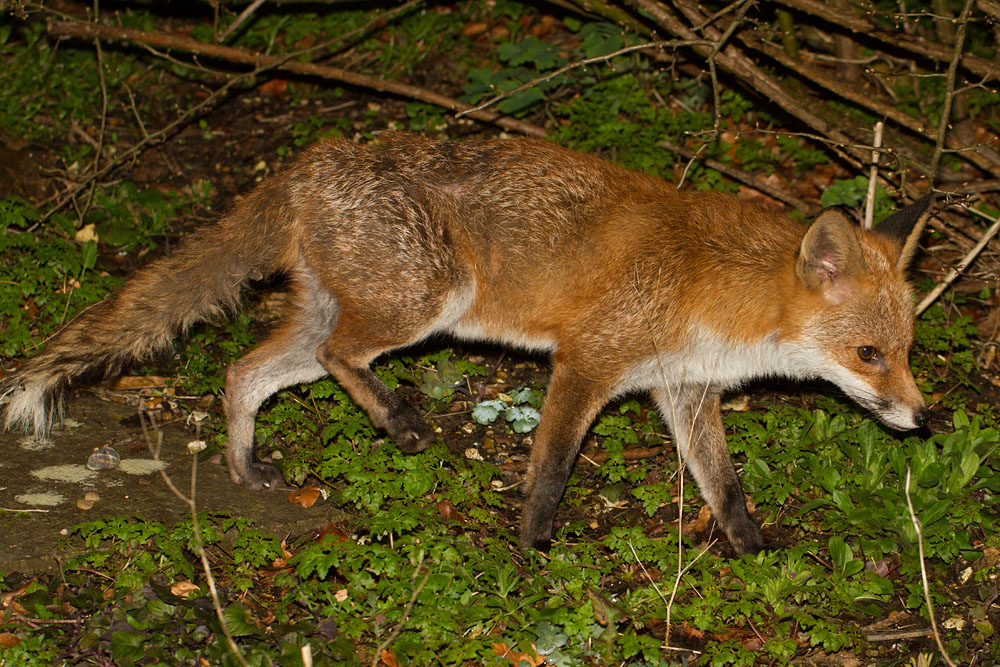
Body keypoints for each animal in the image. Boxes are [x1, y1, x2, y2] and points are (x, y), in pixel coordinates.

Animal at [1, 133, 933, 554]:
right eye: (870, 355)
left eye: (908, 349)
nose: (925, 420)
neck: (713, 288)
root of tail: (312, 157)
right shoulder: (587, 362)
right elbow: (551, 465)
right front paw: (531, 547)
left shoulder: (682, 389)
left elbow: (724, 485)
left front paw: (750, 547)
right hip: (424, 302)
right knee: (340, 361)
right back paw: (401, 421)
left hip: (332, 315)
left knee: (244, 371)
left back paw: (243, 467)